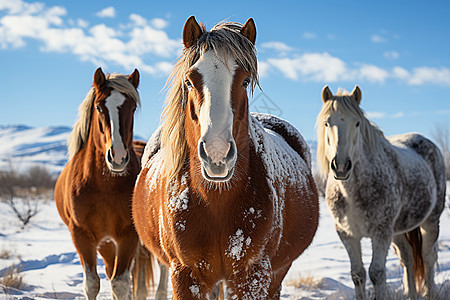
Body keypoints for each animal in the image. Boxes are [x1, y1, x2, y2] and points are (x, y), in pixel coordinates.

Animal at [54, 68, 153, 300]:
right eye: (99, 107)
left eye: (132, 107)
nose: (118, 157)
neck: (104, 186)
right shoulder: (81, 235)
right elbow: (92, 284)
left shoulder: (128, 235)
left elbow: (120, 283)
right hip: (106, 243)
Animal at [132, 17, 318, 300]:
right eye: (189, 81)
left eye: (245, 80)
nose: (217, 154)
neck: (215, 201)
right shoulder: (185, 275)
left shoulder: (253, 276)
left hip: (277, 272)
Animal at [316, 85, 446, 298]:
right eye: (327, 123)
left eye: (357, 123)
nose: (341, 166)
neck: (352, 193)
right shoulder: (347, 234)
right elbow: (358, 274)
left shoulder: (381, 232)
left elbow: (376, 273)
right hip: (399, 229)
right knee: (408, 258)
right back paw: (411, 295)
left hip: (430, 221)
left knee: (428, 256)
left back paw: (429, 294)